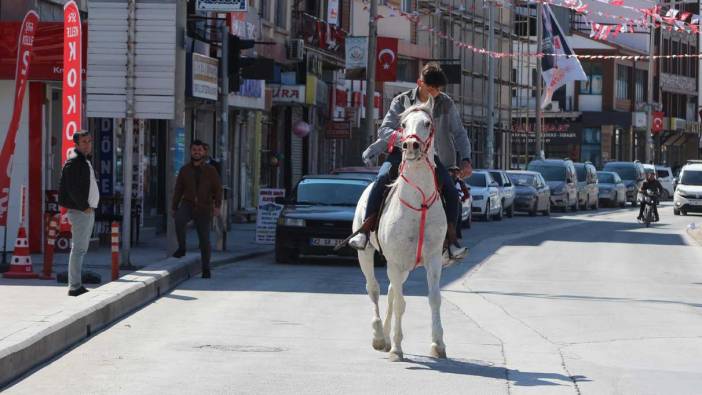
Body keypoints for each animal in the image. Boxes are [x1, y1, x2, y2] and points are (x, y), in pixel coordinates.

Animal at [354, 97, 448, 364]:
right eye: (403, 124)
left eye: (427, 123)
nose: (410, 145)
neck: (419, 204)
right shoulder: (394, 261)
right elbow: (398, 303)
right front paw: (396, 349)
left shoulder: (433, 259)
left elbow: (433, 298)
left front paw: (438, 345)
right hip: (366, 255)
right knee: (375, 290)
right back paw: (379, 337)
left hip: (405, 266)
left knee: (391, 292)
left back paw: (385, 337)